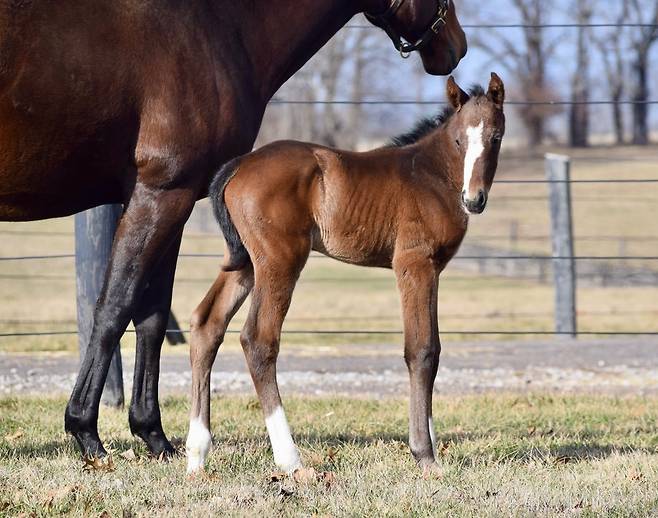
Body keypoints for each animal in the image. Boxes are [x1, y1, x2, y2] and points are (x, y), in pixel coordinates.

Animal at [0, 1, 464, 460]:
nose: (456, 47)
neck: (217, 25)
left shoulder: (172, 200)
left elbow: (151, 315)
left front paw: (154, 435)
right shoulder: (161, 193)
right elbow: (115, 306)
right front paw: (86, 432)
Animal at [187, 73, 504, 476]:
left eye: (495, 137)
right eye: (460, 140)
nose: (473, 199)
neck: (431, 174)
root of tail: (239, 164)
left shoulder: (433, 269)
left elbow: (431, 346)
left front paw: (430, 442)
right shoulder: (414, 264)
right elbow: (422, 349)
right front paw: (424, 454)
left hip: (245, 263)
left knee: (207, 323)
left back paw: (196, 453)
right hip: (280, 260)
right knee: (258, 339)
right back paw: (290, 460)